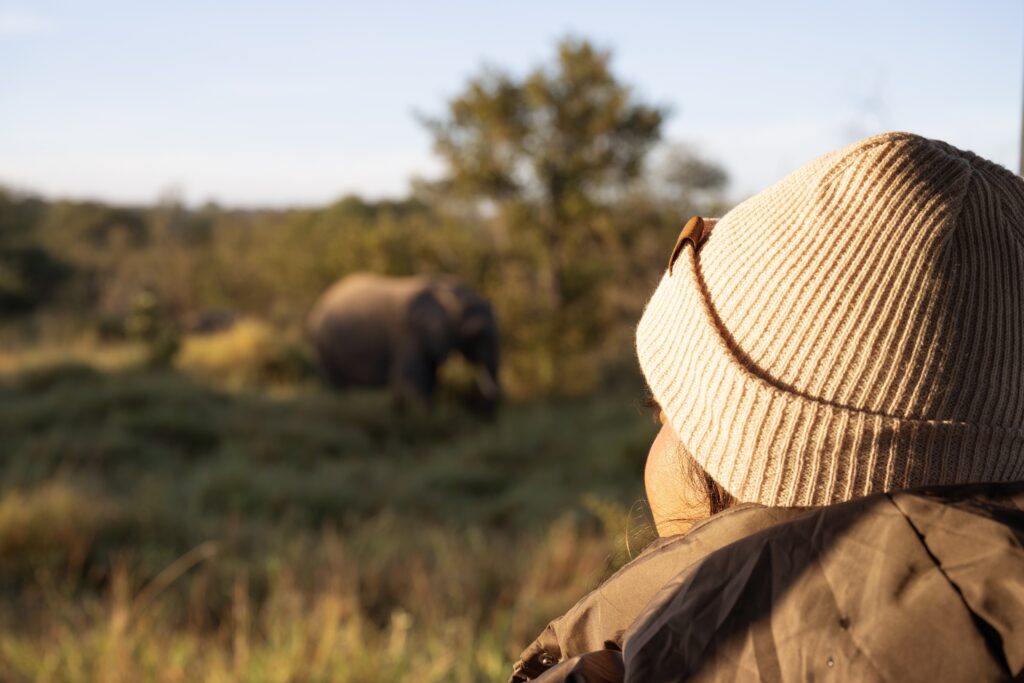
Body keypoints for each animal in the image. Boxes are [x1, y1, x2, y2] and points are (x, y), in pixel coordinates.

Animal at [307, 273, 500, 407]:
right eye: (479, 334)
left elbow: (429, 383)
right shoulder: (408, 334)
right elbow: (411, 384)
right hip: (325, 344)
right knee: (336, 385)